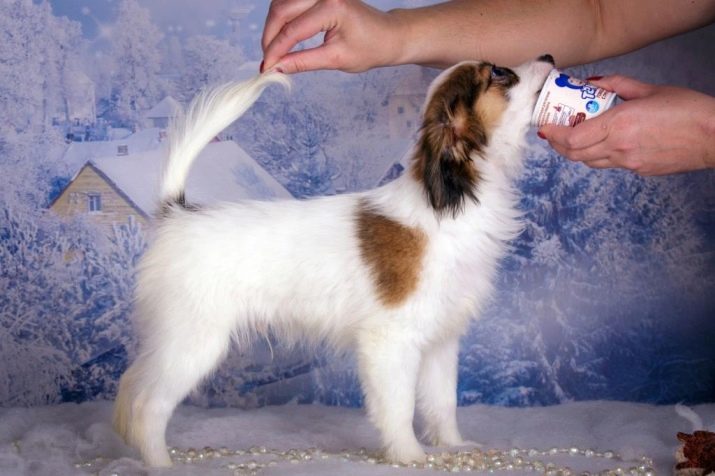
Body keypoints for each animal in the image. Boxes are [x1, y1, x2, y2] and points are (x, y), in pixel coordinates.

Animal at [113, 55, 555, 467]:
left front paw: (452, 446)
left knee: (131, 385)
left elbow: (442, 403)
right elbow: (399, 408)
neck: (449, 204)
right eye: (498, 73)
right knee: (149, 404)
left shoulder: (440, 342)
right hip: (194, 341)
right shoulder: (390, 342)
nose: (549, 59)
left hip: (172, 338)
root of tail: (177, 215)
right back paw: (159, 463)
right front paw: (410, 456)